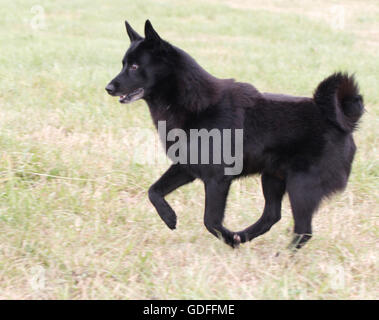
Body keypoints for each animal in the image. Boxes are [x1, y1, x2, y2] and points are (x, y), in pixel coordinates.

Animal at [105, 20, 364, 250]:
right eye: (123, 64)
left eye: (135, 67)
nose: (108, 88)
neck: (194, 103)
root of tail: (339, 120)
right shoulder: (187, 167)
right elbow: (154, 191)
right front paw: (169, 217)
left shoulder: (217, 178)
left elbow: (210, 221)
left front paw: (228, 239)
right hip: (273, 178)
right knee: (271, 216)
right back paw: (244, 237)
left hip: (301, 186)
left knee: (303, 231)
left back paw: (278, 256)